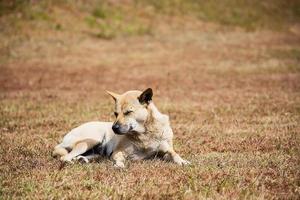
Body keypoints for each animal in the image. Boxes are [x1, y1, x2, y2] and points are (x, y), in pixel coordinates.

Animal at [52, 88, 190, 168]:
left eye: (128, 112)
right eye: (115, 113)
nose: (114, 128)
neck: (145, 133)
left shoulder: (165, 150)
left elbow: (174, 154)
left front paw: (183, 161)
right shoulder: (117, 152)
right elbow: (118, 157)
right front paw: (119, 164)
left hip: (96, 152)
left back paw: (82, 160)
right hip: (90, 141)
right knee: (65, 157)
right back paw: (71, 162)